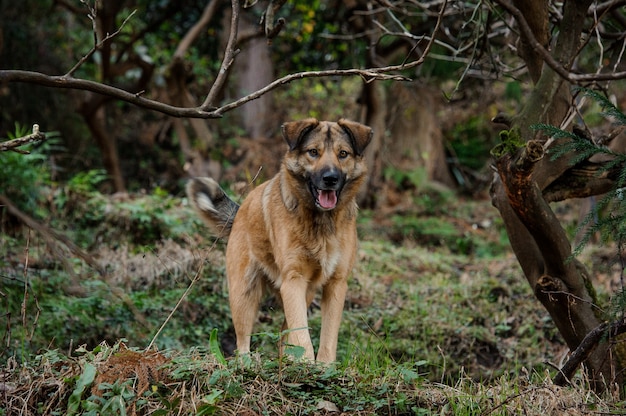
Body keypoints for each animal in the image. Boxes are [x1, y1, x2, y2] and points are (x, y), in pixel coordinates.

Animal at [185, 118, 370, 362]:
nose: (330, 178)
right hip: (244, 294)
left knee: (285, 335)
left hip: (303, 293)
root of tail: (241, 209)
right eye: (313, 152)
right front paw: (308, 365)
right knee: (243, 341)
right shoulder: (294, 279)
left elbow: (327, 338)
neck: (321, 221)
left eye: (343, 154)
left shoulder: (336, 284)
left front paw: (322, 367)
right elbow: (302, 336)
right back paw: (246, 364)